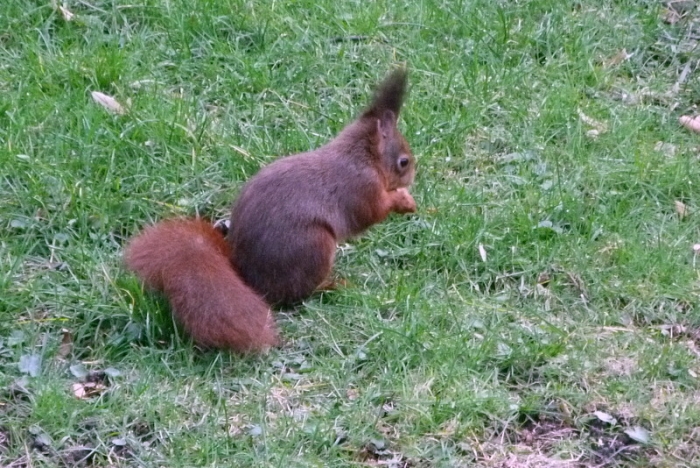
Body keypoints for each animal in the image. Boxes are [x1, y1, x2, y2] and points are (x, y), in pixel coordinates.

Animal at [124, 69, 417, 352]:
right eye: (403, 161)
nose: (413, 175)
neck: (361, 156)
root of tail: (248, 278)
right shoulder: (360, 187)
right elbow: (370, 214)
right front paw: (401, 201)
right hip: (313, 245)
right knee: (299, 293)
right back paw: (332, 285)